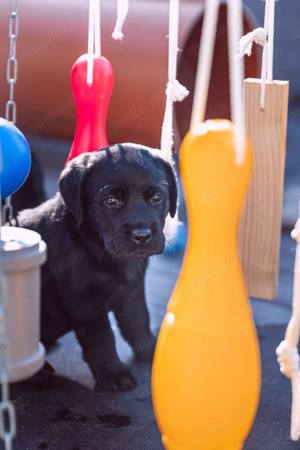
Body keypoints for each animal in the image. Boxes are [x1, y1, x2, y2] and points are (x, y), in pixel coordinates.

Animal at [17, 144, 178, 390]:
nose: (142, 236)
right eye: (111, 200)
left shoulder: (132, 290)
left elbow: (138, 320)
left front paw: (150, 348)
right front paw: (113, 372)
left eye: (157, 197)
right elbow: (102, 337)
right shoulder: (85, 302)